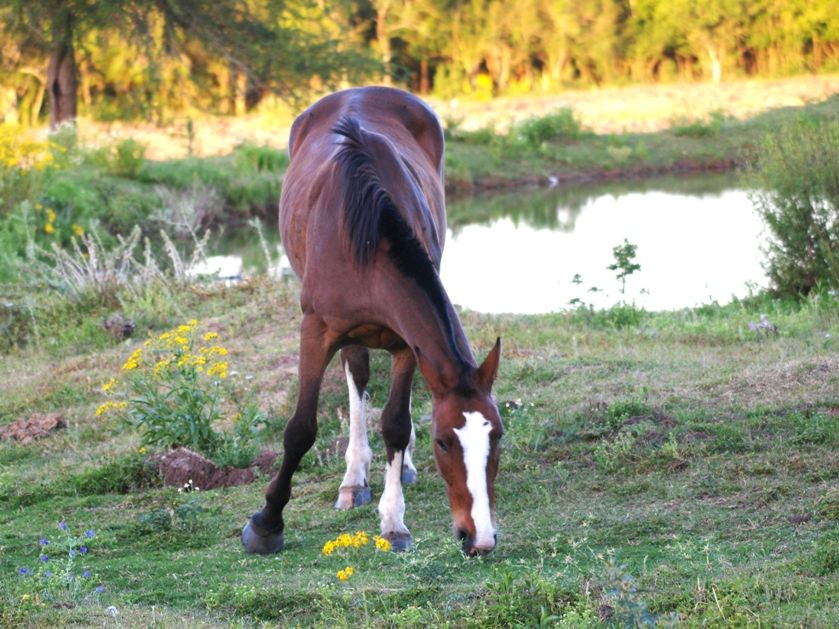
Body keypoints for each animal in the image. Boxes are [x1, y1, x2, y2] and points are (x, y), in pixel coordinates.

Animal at [243, 84, 506, 556]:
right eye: (444, 441)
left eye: (497, 437)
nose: (479, 538)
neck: (369, 240)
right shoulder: (316, 329)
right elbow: (300, 428)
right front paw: (266, 523)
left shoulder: (405, 342)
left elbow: (396, 424)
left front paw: (394, 521)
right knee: (357, 378)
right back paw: (353, 480)